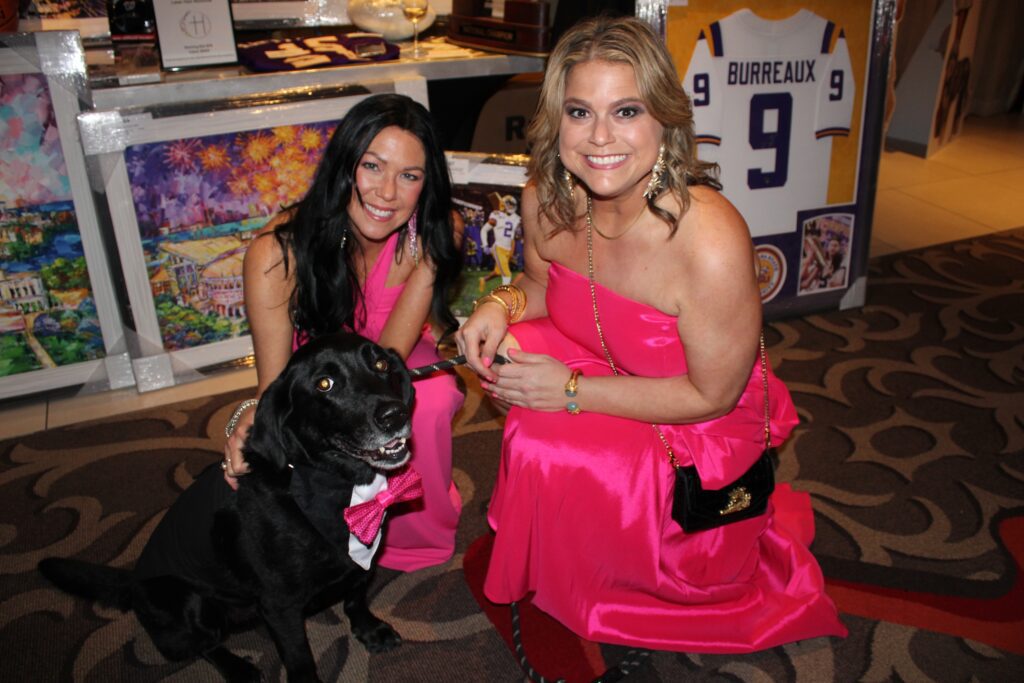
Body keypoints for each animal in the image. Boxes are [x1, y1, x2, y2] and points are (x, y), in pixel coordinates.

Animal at [39, 332, 418, 682]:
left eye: (380, 365)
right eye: (325, 384)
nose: (394, 414)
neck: (338, 485)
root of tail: (132, 584)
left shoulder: (362, 560)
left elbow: (356, 596)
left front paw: (370, 630)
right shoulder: (280, 606)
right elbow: (300, 657)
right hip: (189, 604)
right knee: (204, 645)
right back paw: (239, 669)